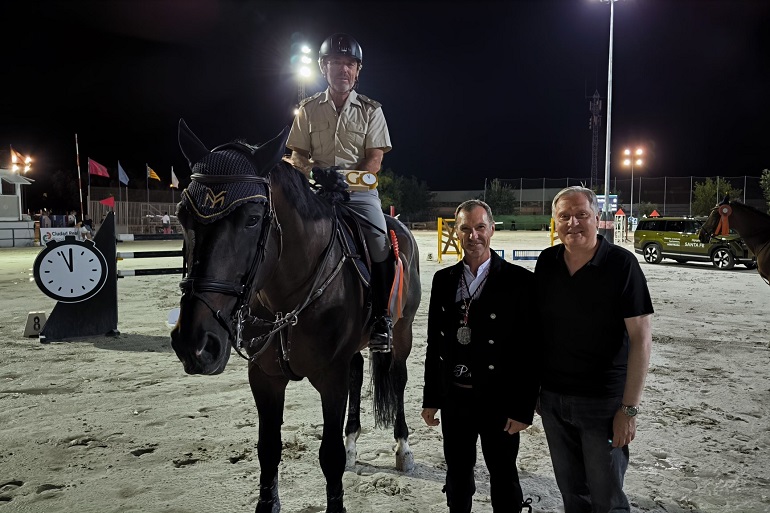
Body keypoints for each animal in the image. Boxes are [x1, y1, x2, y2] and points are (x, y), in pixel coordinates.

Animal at [170, 117, 420, 512]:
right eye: (182, 215)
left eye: (253, 218)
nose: (194, 343)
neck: (284, 299)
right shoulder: (265, 378)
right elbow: (268, 450)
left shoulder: (330, 378)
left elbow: (329, 455)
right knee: (357, 372)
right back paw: (354, 444)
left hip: (403, 332)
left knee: (397, 379)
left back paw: (402, 449)